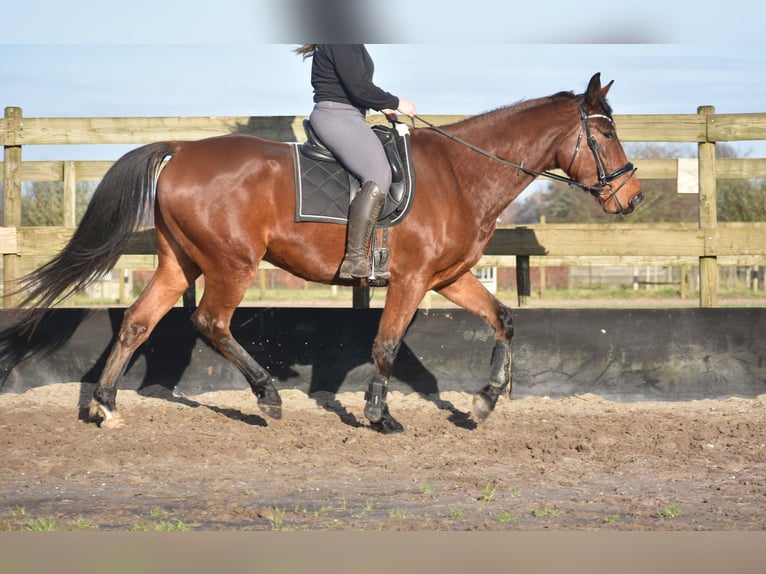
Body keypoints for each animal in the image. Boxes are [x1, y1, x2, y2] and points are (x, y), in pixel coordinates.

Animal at [15, 73, 644, 432]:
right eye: (607, 133)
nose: (632, 197)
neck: (462, 174)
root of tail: (181, 150)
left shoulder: (448, 278)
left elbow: (504, 320)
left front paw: (487, 400)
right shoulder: (412, 280)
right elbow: (386, 345)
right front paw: (380, 415)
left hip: (180, 263)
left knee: (139, 323)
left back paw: (104, 405)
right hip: (232, 265)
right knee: (210, 321)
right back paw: (268, 397)